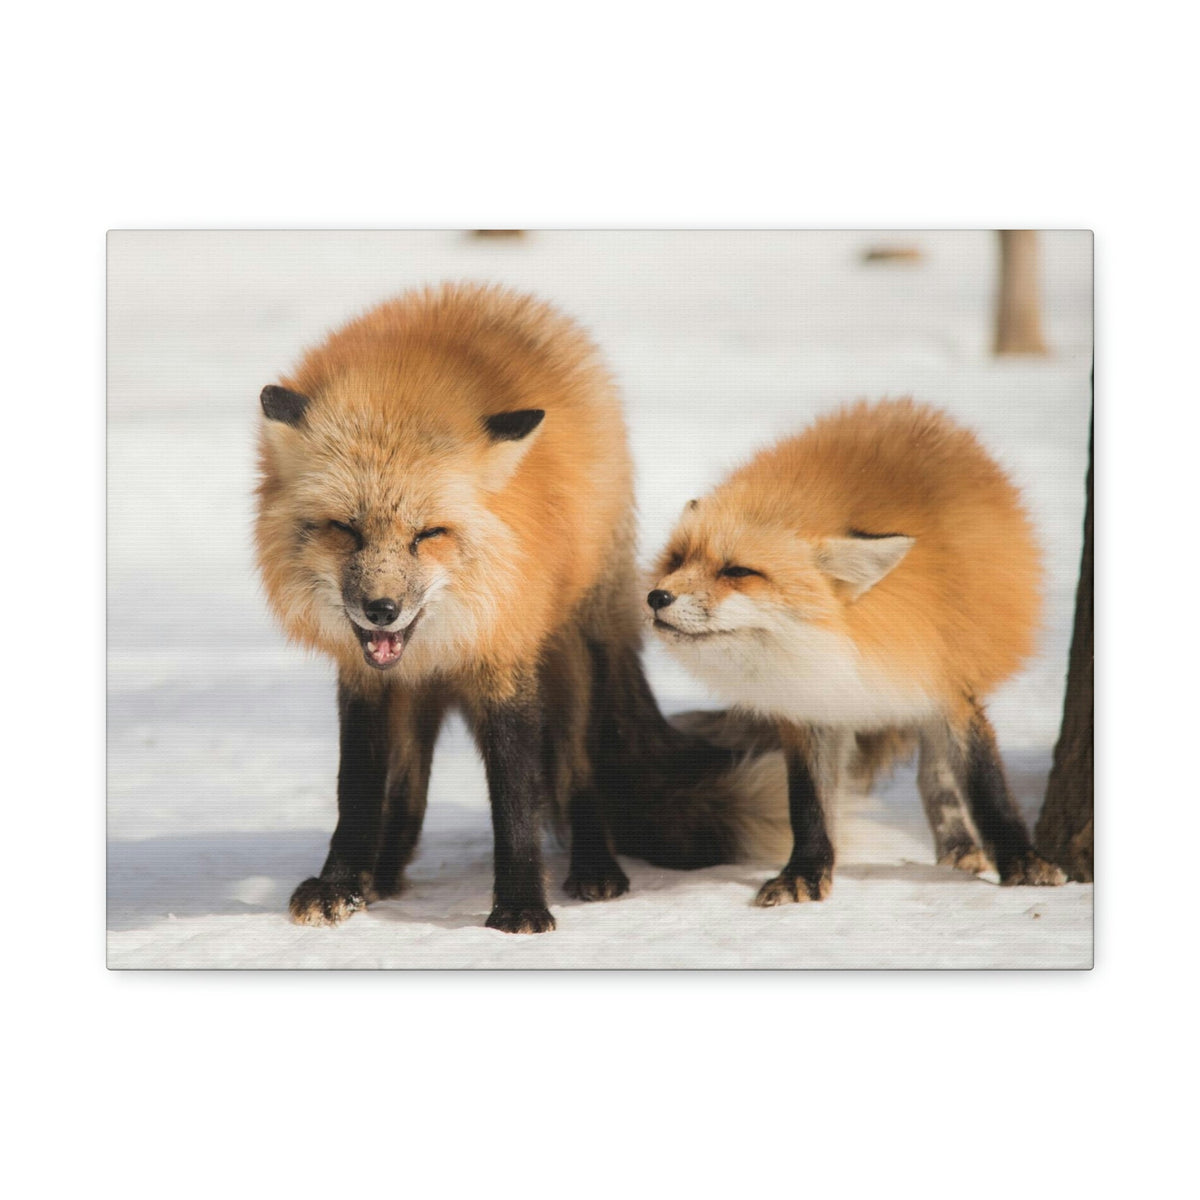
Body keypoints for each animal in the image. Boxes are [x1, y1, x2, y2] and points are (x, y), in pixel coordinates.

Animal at [255, 283, 784, 934]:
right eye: (345, 530)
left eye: (428, 534)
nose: (382, 609)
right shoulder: (367, 680)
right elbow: (356, 790)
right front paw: (341, 887)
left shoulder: (505, 659)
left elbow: (516, 796)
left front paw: (521, 905)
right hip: (421, 697)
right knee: (408, 791)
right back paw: (384, 874)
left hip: (571, 663)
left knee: (579, 775)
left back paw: (595, 868)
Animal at [647, 398, 1067, 907]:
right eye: (676, 560)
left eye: (738, 571)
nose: (656, 597)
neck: (847, 647)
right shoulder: (811, 709)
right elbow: (808, 805)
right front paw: (805, 873)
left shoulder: (947, 682)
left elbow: (985, 786)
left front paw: (1023, 860)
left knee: (935, 776)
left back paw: (959, 845)